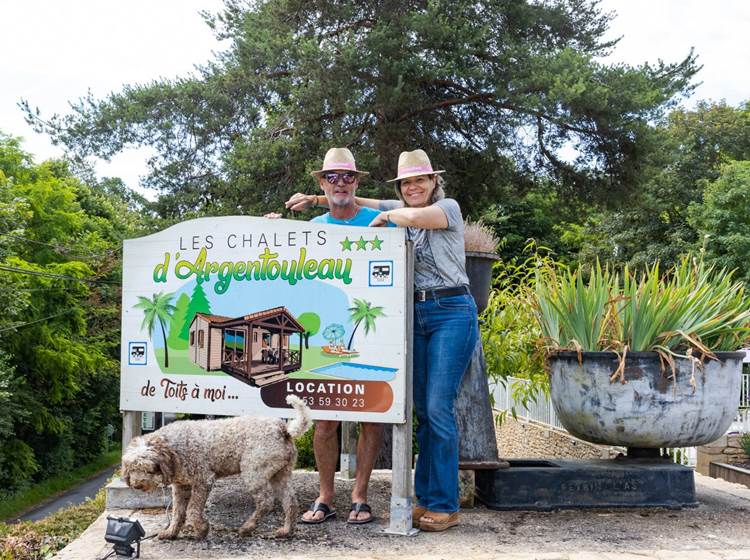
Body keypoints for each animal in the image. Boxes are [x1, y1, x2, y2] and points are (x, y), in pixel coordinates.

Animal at [123, 394, 312, 540]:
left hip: (254, 472)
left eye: (148, 468)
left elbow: (192, 510)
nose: (137, 485)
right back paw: (286, 531)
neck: (174, 447)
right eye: (132, 469)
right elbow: (178, 512)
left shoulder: (203, 480)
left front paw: (202, 530)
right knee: (290, 502)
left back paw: (247, 528)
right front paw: (171, 533)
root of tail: (283, 429)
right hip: (279, 474)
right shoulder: (181, 486)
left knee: (265, 502)